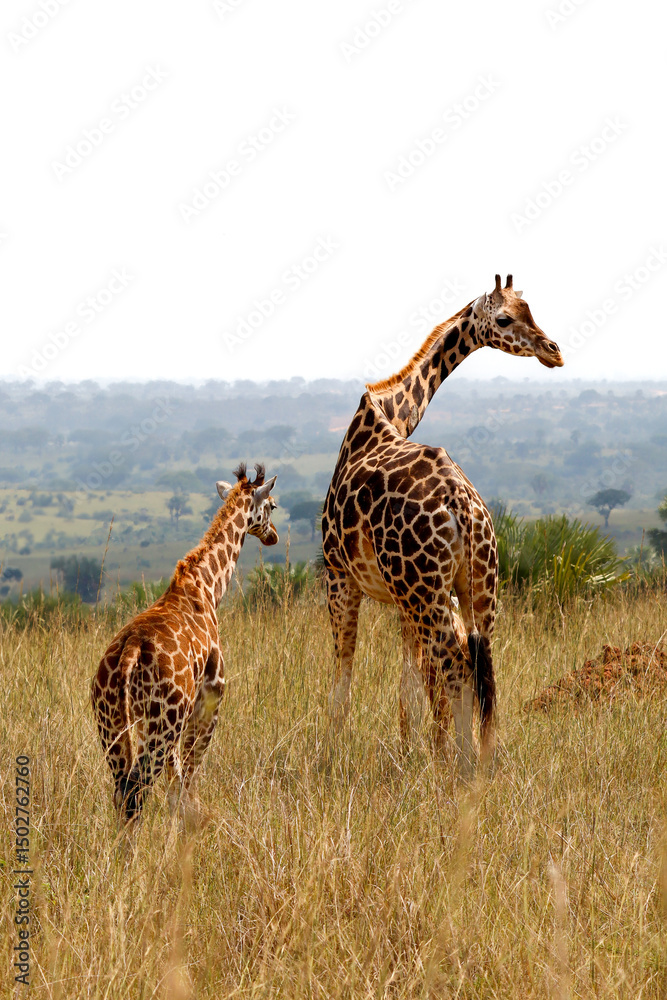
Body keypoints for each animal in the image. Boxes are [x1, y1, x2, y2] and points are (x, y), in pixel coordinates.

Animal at [91, 463, 278, 826]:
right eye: (273, 505)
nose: (274, 535)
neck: (208, 586)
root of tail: (130, 652)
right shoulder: (211, 696)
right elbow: (188, 781)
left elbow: (175, 787)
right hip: (161, 723)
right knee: (136, 792)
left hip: (114, 726)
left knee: (122, 792)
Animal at [321, 275, 563, 771]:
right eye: (507, 317)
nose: (553, 350)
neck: (390, 415)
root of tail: (463, 506)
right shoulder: (399, 596)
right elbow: (409, 687)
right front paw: (414, 756)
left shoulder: (340, 575)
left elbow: (345, 681)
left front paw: (331, 757)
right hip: (476, 588)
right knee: (480, 669)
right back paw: (479, 760)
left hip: (426, 590)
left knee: (455, 667)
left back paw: (462, 766)